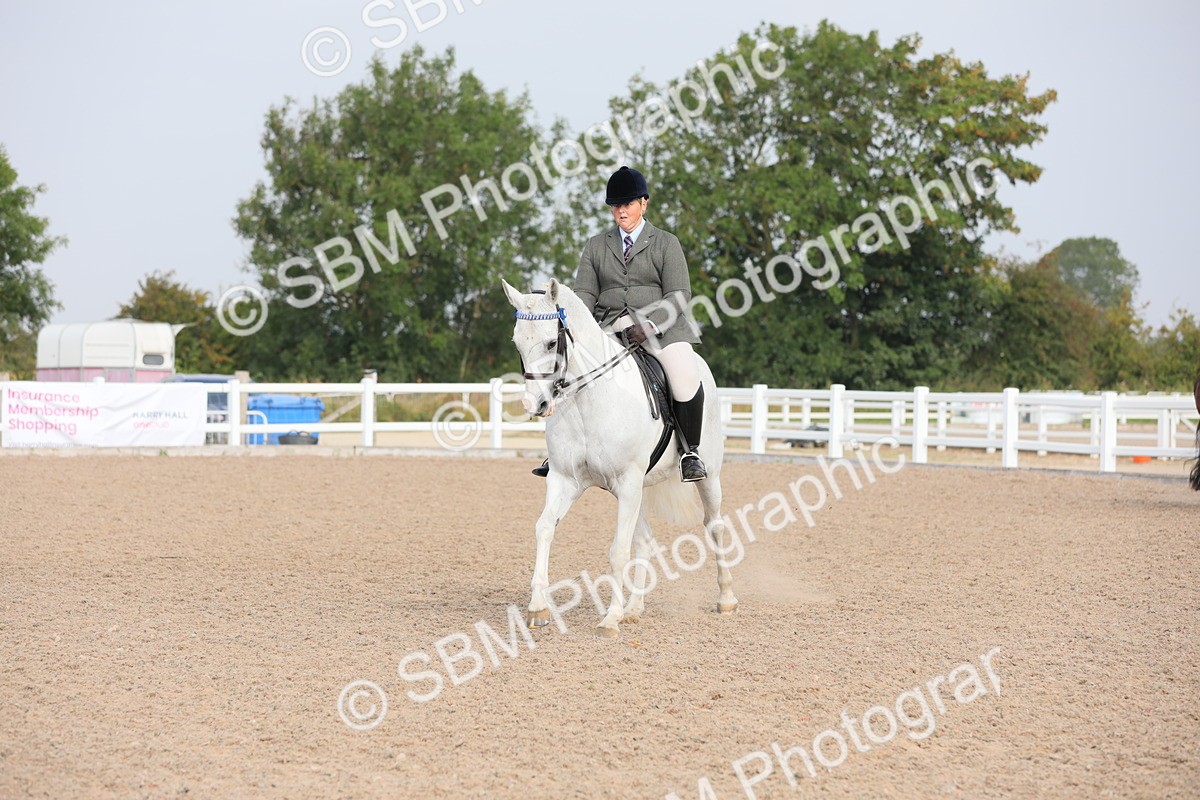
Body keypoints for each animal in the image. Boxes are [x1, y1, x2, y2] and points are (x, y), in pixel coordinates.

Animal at [502, 278, 737, 638]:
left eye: (551, 342)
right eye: (517, 343)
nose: (534, 405)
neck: (587, 399)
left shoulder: (627, 482)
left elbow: (618, 551)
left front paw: (609, 619)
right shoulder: (565, 479)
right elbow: (544, 529)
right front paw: (538, 607)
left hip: (705, 477)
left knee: (714, 525)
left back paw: (725, 598)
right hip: (635, 490)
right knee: (645, 539)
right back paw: (634, 608)